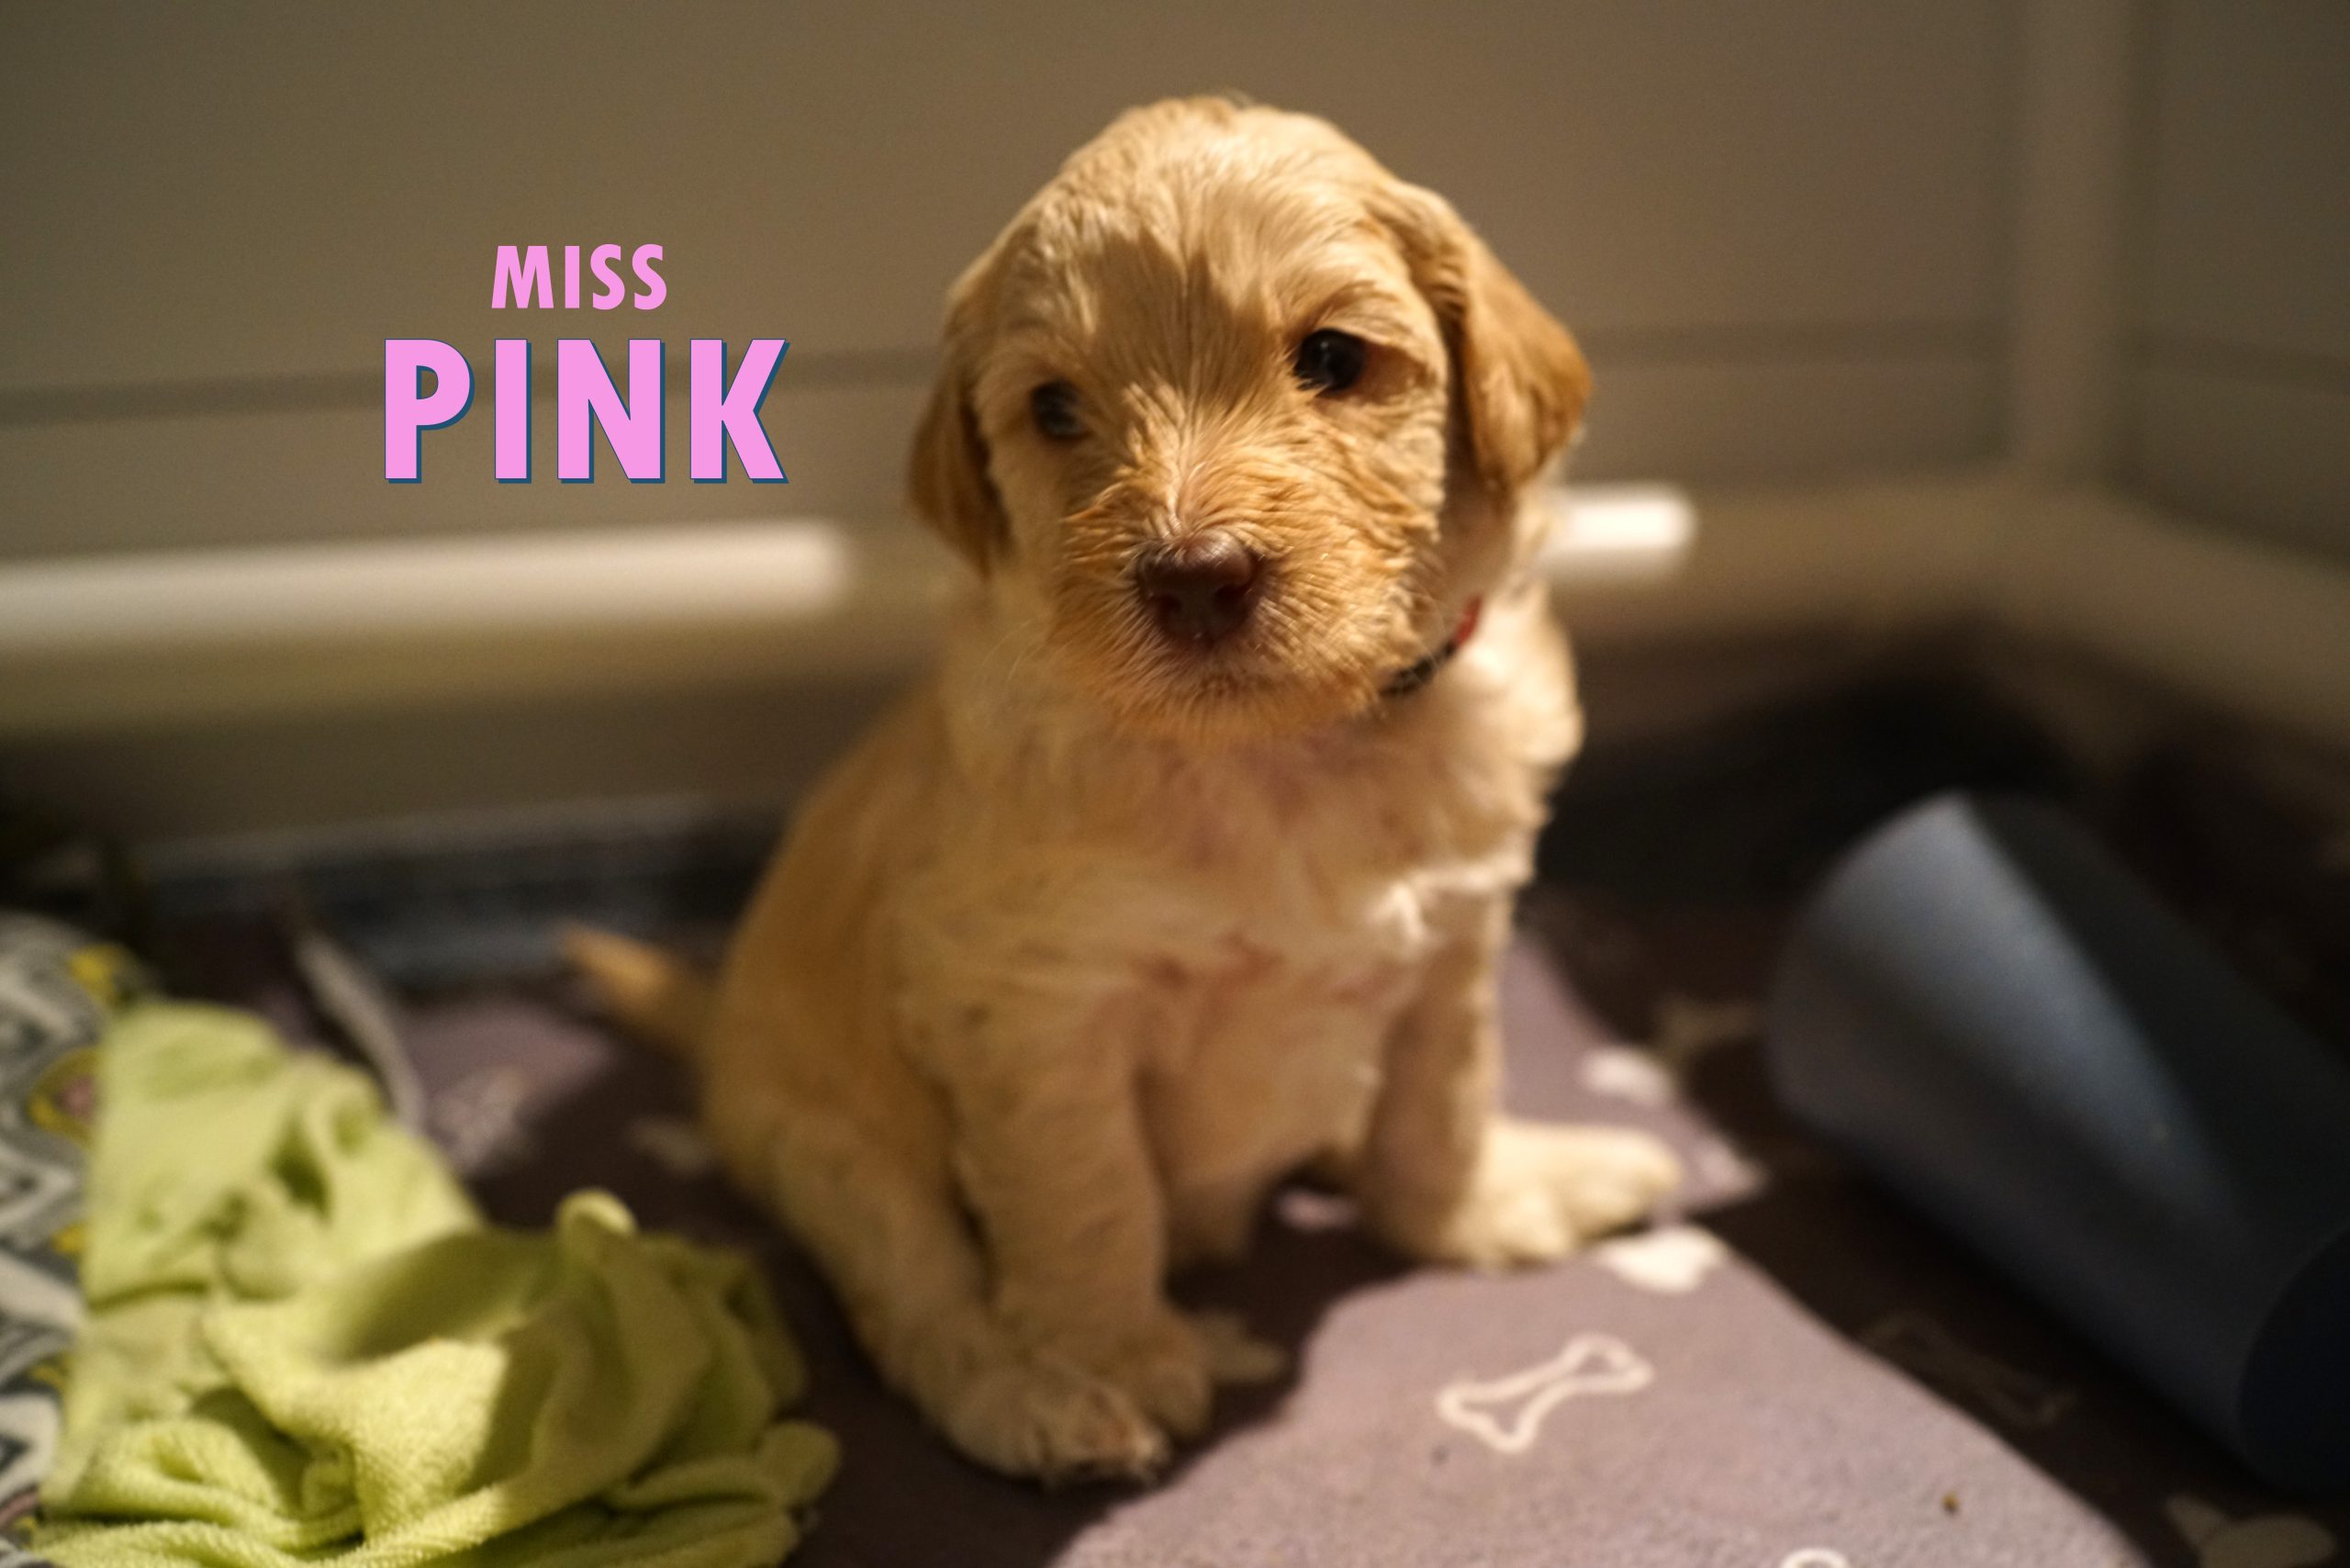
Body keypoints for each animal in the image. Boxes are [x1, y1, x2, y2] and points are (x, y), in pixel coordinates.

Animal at [572, 96, 1680, 1482]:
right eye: (1054, 410)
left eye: (1333, 357)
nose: (1195, 578)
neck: (1286, 750)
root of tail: (717, 1031)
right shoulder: (1034, 1004)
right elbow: (1087, 1194)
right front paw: (1120, 1355)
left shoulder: (1456, 940)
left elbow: (1440, 1106)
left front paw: (1475, 1209)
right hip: (832, 1144)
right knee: (921, 1300)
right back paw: (1037, 1401)